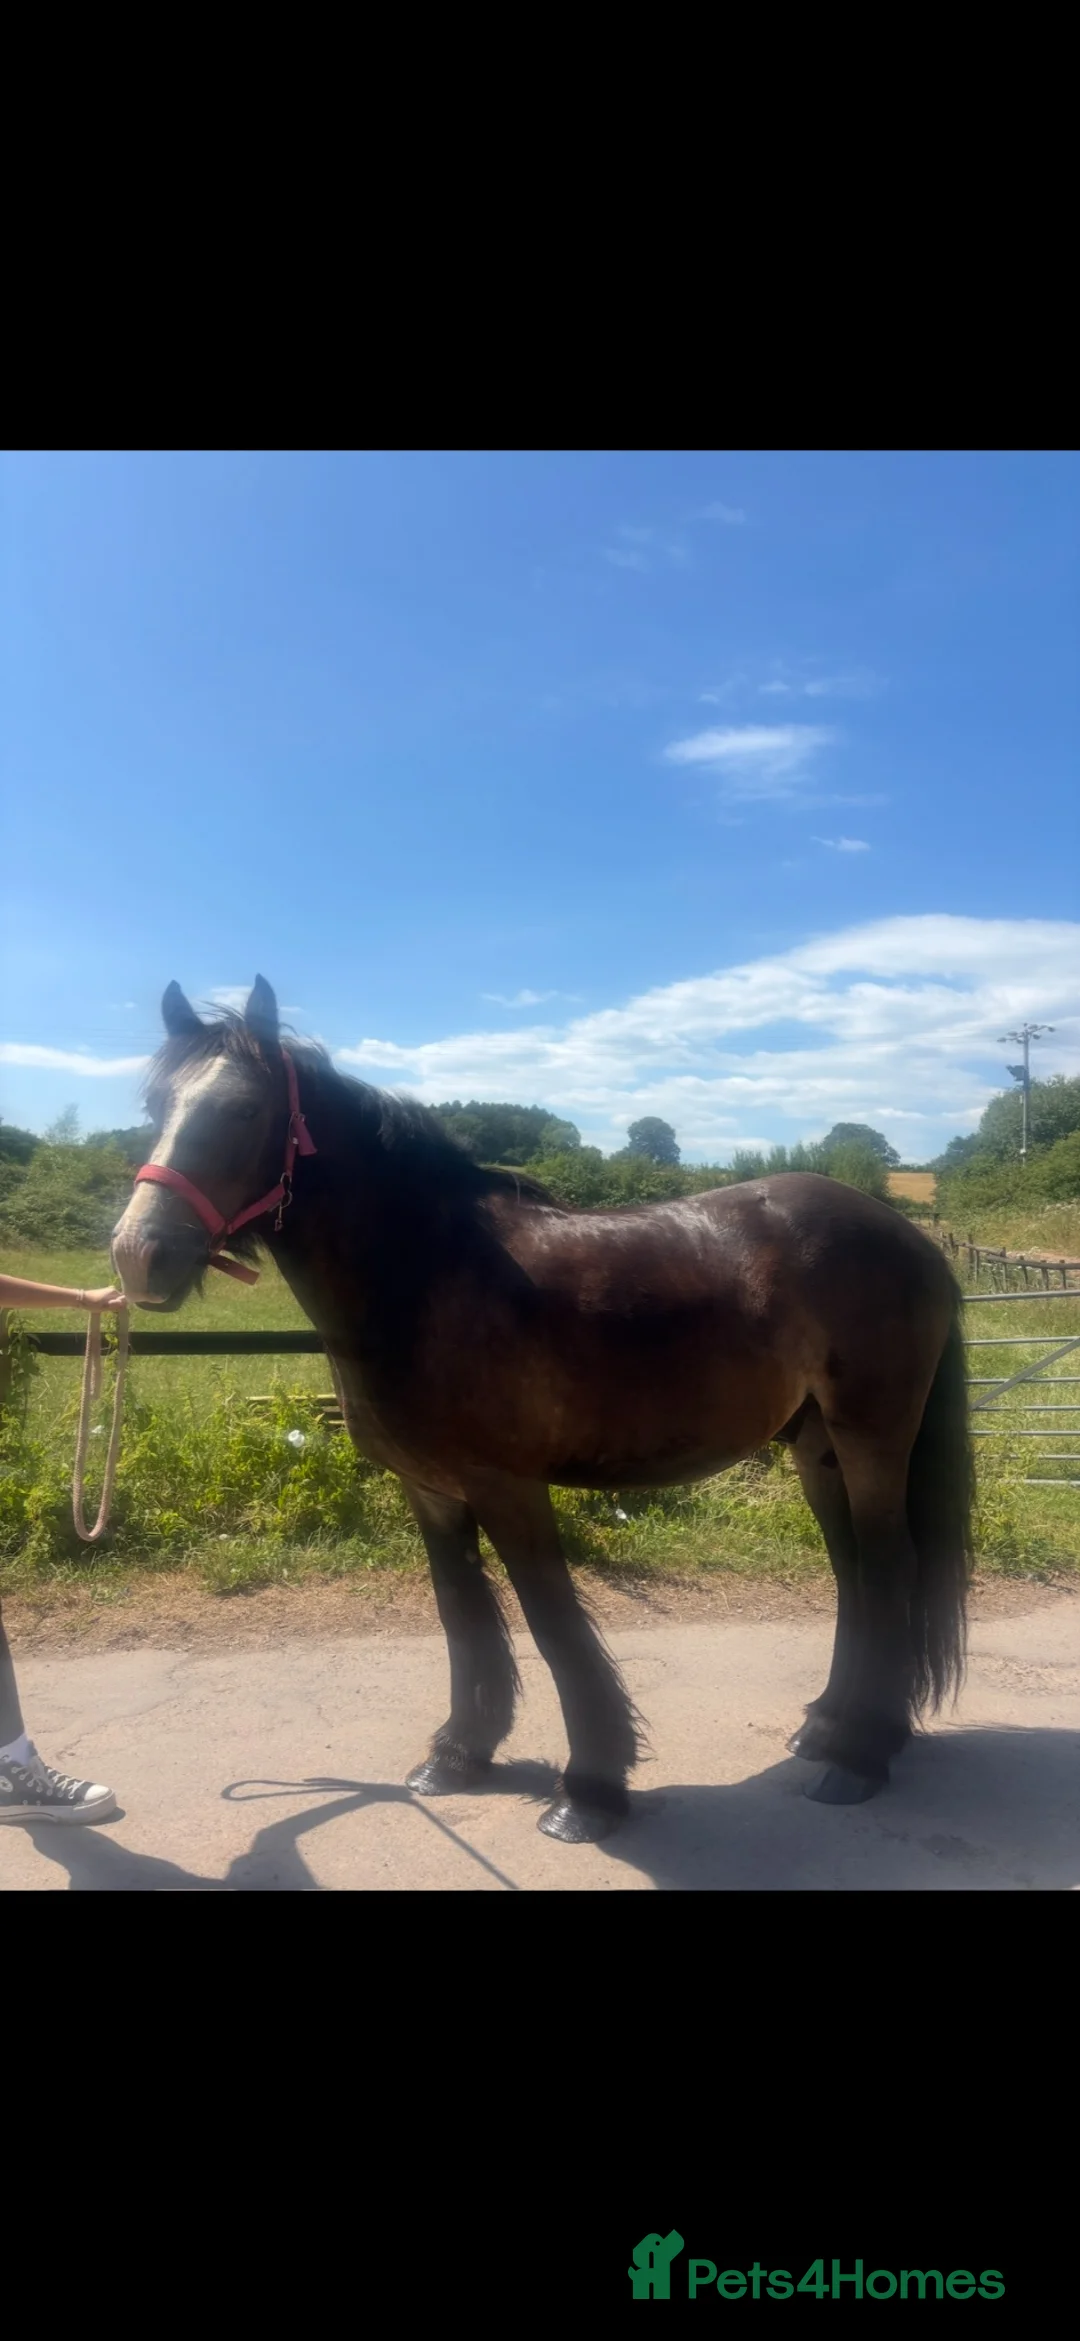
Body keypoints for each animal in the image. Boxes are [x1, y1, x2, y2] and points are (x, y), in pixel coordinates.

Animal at [111, 976, 973, 1845]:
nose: (139, 1255)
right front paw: (459, 1753)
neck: (427, 1274)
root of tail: (912, 1238)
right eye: (156, 1104)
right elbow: (462, 1614)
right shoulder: (430, 1491)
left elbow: (552, 1623)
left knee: (889, 1565)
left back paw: (860, 1757)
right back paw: (830, 1724)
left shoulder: (509, 1488)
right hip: (816, 1442)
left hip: (870, 1435)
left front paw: (590, 1788)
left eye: (245, 1109)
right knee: (853, 1568)